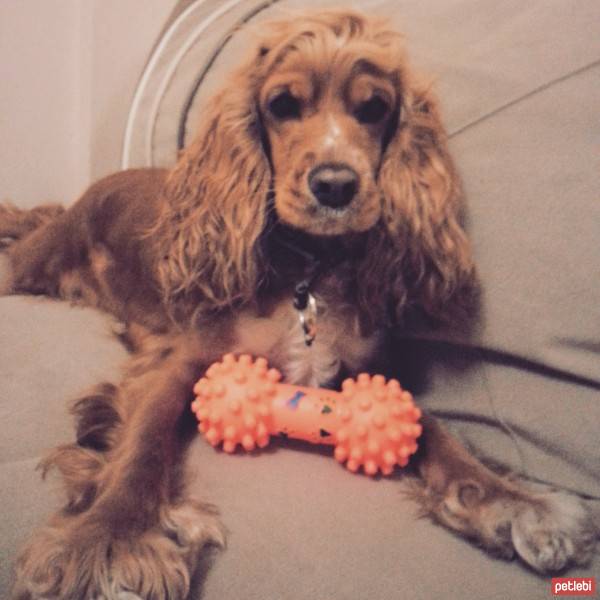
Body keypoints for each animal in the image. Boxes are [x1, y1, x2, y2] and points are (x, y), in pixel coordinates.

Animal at [2, 9, 596, 600]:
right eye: (282, 104)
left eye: (374, 108)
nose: (335, 185)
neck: (310, 268)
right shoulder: (180, 364)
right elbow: (144, 443)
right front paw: (108, 535)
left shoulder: (357, 372)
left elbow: (434, 427)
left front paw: (511, 500)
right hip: (33, 260)